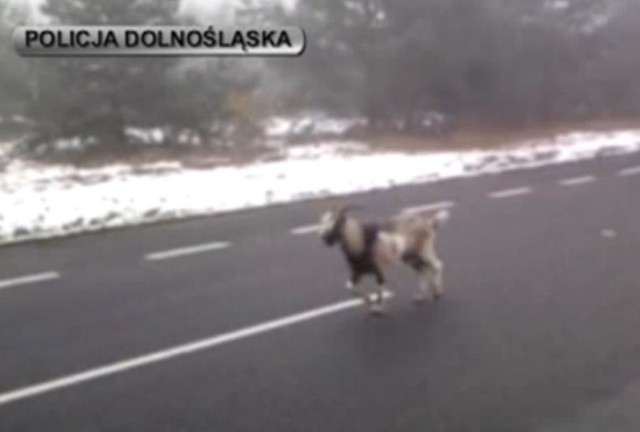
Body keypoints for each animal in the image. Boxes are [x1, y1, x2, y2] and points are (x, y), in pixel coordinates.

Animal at [320, 202, 450, 314]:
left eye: (337, 224)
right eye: (324, 223)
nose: (326, 239)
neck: (361, 241)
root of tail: (430, 222)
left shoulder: (379, 269)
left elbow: (379, 288)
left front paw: (378, 308)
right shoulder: (357, 271)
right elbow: (351, 288)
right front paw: (371, 303)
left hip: (424, 251)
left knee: (437, 265)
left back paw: (438, 292)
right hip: (411, 256)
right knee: (422, 270)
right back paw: (420, 296)